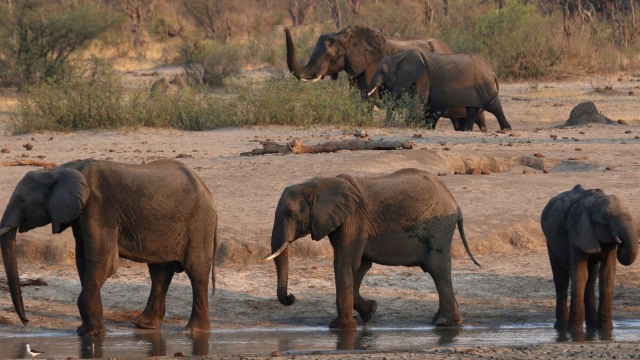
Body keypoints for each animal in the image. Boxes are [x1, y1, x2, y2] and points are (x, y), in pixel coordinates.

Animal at [0, 159, 218, 336]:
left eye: (22, 200)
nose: (26, 321)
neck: (60, 170)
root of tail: (207, 190)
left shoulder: (98, 208)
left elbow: (104, 262)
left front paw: (91, 334)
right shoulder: (81, 214)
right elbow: (83, 261)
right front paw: (88, 331)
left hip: (199, 223)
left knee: (196, 272)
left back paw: (194, 330)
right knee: (159, 272)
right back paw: (144, 325)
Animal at [262, 168, 478, 330]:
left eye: (290, 214)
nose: (291, 297)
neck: (318, 184)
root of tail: (455, 202)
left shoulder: (353, 221)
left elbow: (344, 263)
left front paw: (341, 327)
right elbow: (360, 266)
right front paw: (370, 311)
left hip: (438, 228)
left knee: (436, 267)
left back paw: (444, 323)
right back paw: (440, 321)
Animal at [282, 25, 488, 132]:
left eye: (331, 55)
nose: (284, 27)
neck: (346, 35)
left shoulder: (370, 64)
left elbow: (365, 97)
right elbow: (356, 96)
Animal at [368, 48, 512, 131]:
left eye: (383, 71)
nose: (385, 125)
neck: (398, 56)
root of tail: (492, 70)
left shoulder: (423, 77)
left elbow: (418, 102)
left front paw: (408, 126)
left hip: (484, 84)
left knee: (493, 106)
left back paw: (507, 129)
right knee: (472, 108)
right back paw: (466, 130)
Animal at [544, 186, 636, 332]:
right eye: (605, 218)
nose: (621, 243)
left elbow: (607, 275)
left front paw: (606, 330)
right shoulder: (576, 232)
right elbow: (580, 275)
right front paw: (574, 332)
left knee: (591, 280)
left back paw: (592, 327)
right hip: (551, 242)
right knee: (561, 280)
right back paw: (561, 327)